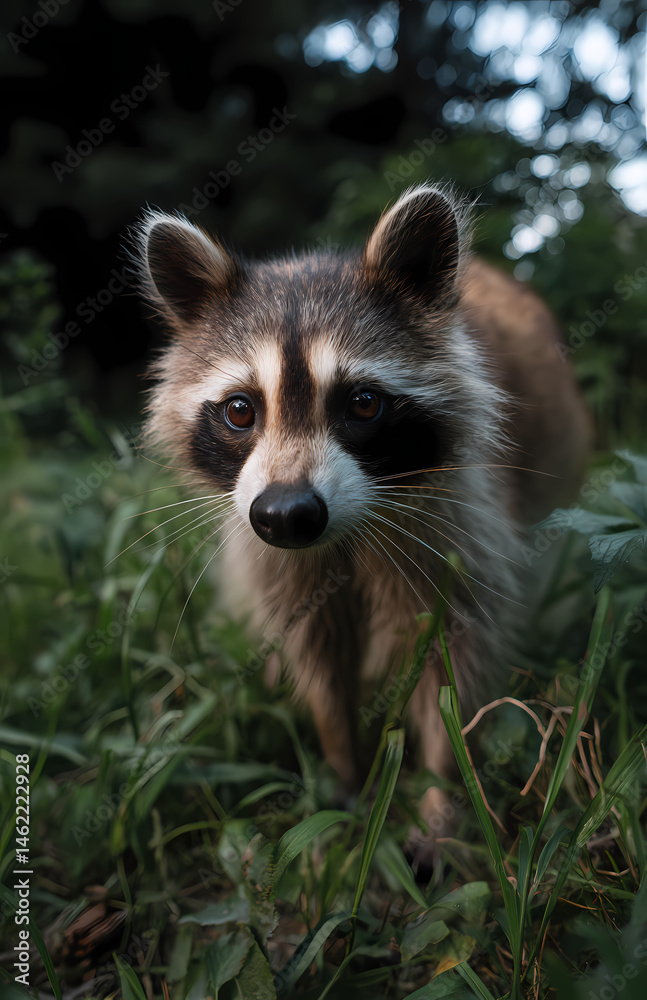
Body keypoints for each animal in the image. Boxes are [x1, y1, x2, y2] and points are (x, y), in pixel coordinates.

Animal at [134, 184, 591, 839]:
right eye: (241, 410)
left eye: (364, 404)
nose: (287, 514)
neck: (343, 538)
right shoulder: (272, 554)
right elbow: (318, 661)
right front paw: (344, 774)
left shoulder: (461, 523)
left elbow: (453, 661)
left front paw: (441, 794)